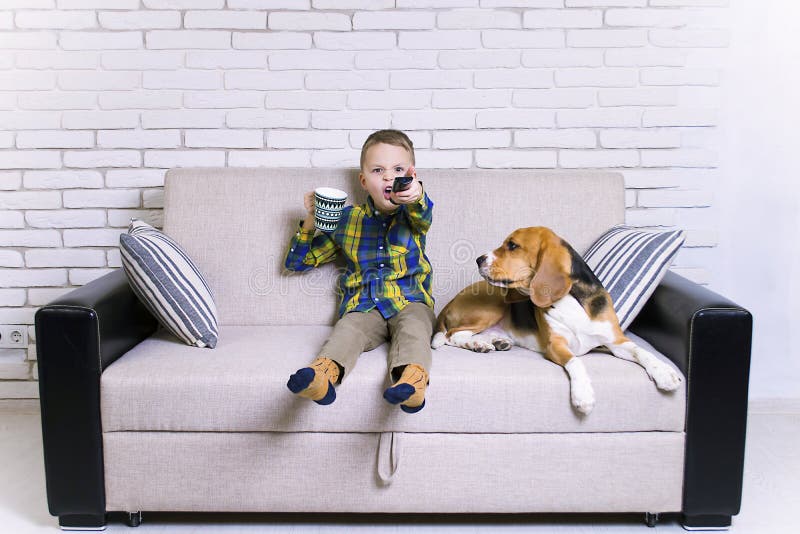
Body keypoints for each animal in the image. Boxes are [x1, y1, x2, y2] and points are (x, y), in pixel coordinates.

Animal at [432, 228, 680, 416]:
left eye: (512, 245)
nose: (478, 259)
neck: (571, 299)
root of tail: (451, 301)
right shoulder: (556, 345)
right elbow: (576, 361)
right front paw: (583, 394)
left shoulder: (615, 341)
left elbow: (642, 351)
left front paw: (665, 373)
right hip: (494, 304)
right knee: (453, 335)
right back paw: (478, 344)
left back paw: (493, 342)